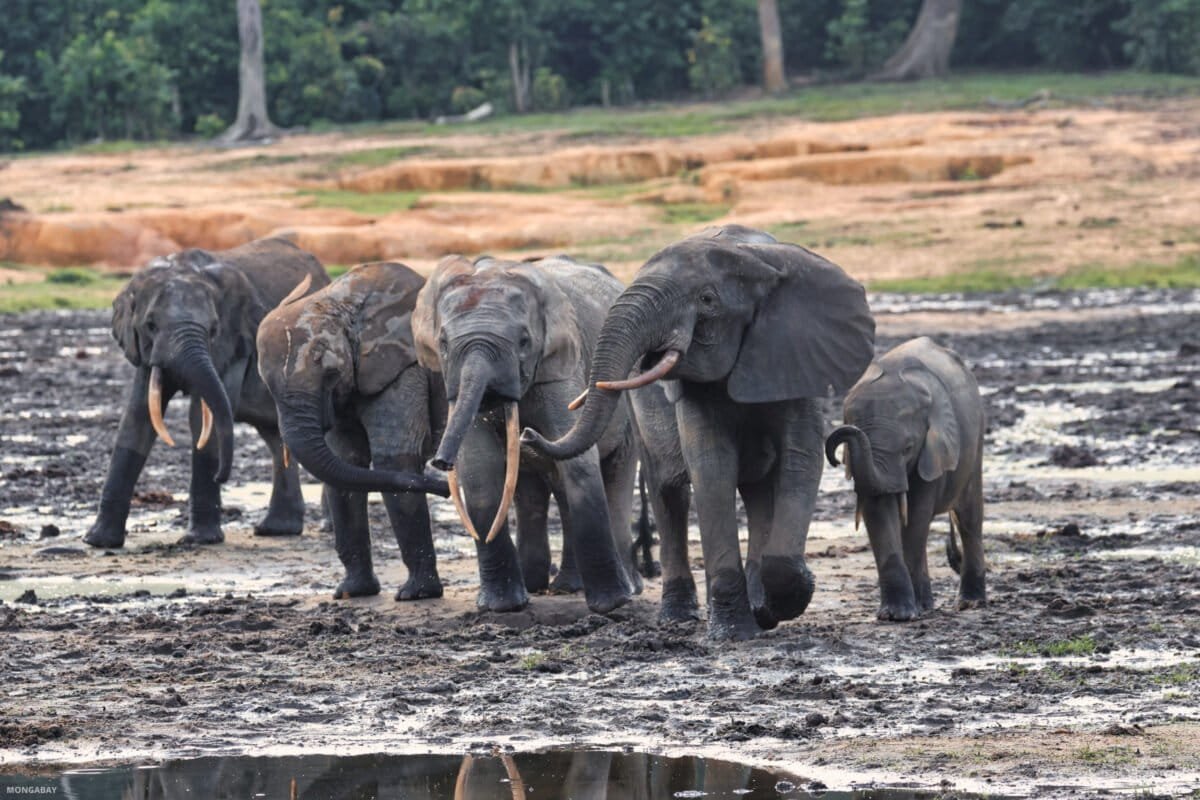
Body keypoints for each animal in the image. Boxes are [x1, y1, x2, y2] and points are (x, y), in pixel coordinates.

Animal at [84, 237, 330, 549]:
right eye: (150, 325)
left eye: (213, 329)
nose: (221, 476)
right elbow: (137, 418)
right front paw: (98, 541)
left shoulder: (236, 344)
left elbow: (202, 419)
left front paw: (201, 540)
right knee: (277, 438)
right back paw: (277, 530)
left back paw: (325, 528)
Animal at [255, 262, 451, 601]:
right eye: (267, 387)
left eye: (330, 373)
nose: (444, 487)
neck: (341, 301)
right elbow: (346, 463)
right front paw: (351, 593)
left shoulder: (403, 369)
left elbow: (393, 462)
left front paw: (416, 595)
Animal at [412, 254, 647, 615]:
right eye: (443, 344)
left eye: (524, 341)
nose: (439, 462)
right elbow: (480, 467)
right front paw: (503, 607)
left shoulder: (561, 366)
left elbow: (580, 464)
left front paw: (611, 605)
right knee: (534, 489)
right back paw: (544, 585)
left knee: (615, 476)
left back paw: (624, 588)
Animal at [522, 225, 876, 640]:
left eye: (707, 299)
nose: (526, 434)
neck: (752, 256)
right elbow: (712, 466)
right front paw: (736, 632)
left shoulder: (795, 357)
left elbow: (801, 460)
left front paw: (777, 603)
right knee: (669, 493)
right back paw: (679, 616)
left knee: (756, 493)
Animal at [825, 336, 987, 621]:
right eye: (848, 455)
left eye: (908, 448)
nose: (833, 455)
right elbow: (879, 510)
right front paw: (896, 615)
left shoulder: (933, 450)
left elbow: (918, 513)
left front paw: (908, 613)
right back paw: (928, 604)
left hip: (975, 436)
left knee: (969, 517)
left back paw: (970, 603)